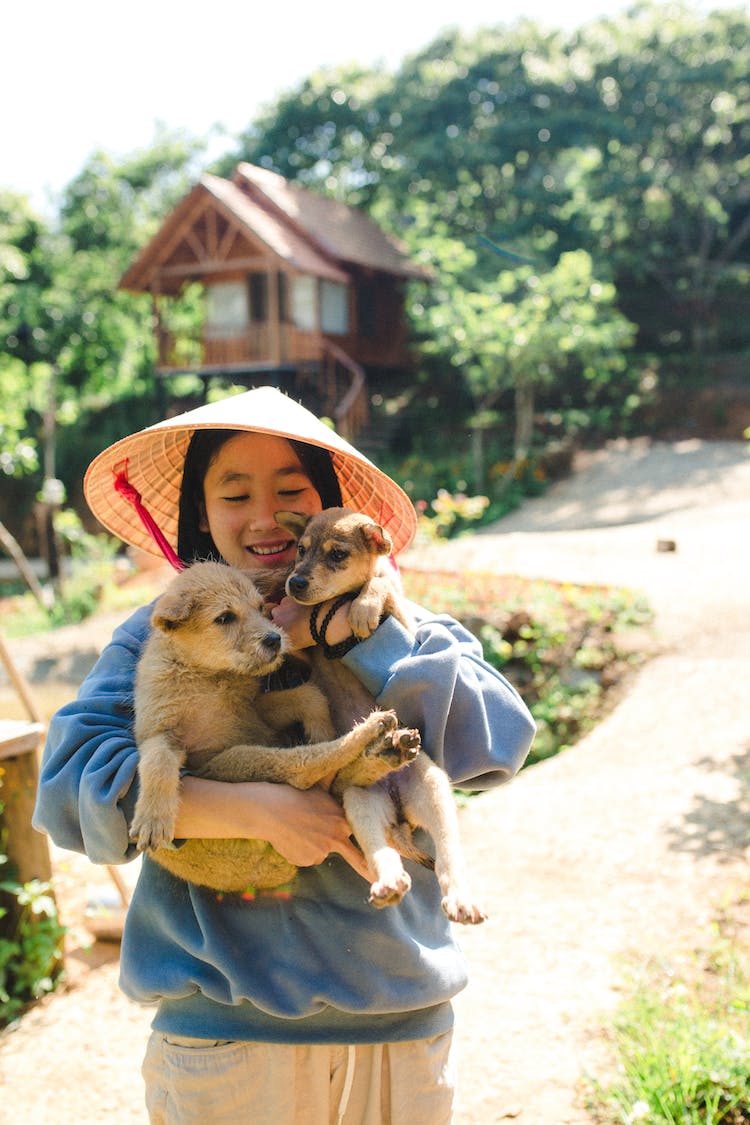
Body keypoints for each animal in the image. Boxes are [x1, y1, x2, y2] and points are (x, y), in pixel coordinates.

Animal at [131, 562, 420, 895]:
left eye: (260, 608)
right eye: (224, 617)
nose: (274, 640)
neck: (209, 676)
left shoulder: (256, 713)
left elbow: (308, 695)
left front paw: (320, 727)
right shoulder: (161, 733)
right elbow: (157, 763)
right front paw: (152, 818)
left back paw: (385, 746)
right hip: (235, 761)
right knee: (302, 769)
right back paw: (374, 735)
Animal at [278, 510, 490, 922]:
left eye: (337, 555)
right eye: (300, 550)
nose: (294, 582)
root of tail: (397, 807)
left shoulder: (402, 618)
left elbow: (379, 584)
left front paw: (363, 608)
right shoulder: (302, 655)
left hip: (433, 789)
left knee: (448, 857)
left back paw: (461, 899)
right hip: (360, 804)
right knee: (383, 853)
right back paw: (388, 882)